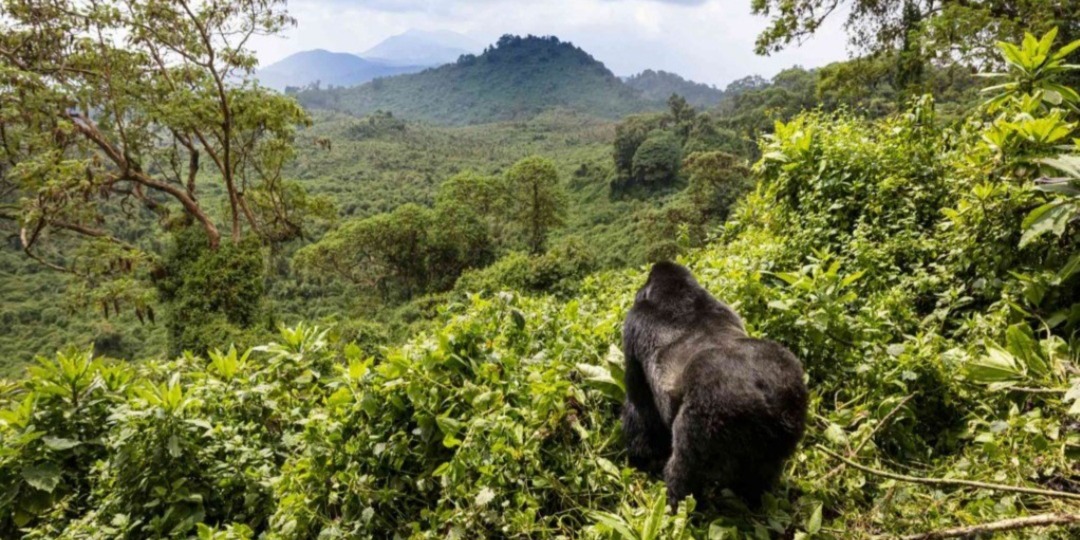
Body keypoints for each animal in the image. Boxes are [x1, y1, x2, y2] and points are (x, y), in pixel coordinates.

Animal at [621, 261, 808, 506]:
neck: (678, 293)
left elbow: (639, 405)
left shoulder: (633, 323)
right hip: (791, 403)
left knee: (685, 469)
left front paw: (642, 458)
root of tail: (764, 396)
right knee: (762, 473)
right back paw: (753, 499)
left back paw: (677, 503)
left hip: (710, 412)